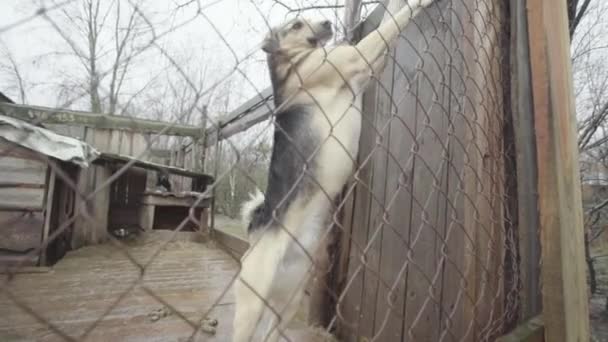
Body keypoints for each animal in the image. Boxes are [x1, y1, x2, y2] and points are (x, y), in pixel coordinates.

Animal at [233, 1, 436, 340]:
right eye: (296, 25)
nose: (328, 23)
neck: (293, 62)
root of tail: (254, 231)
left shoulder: (367, 70)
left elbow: (390, 18)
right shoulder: (357, 57)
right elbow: (392, 23)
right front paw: (416, 4)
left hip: (287, 303)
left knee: (270, 333)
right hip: (250, 306)